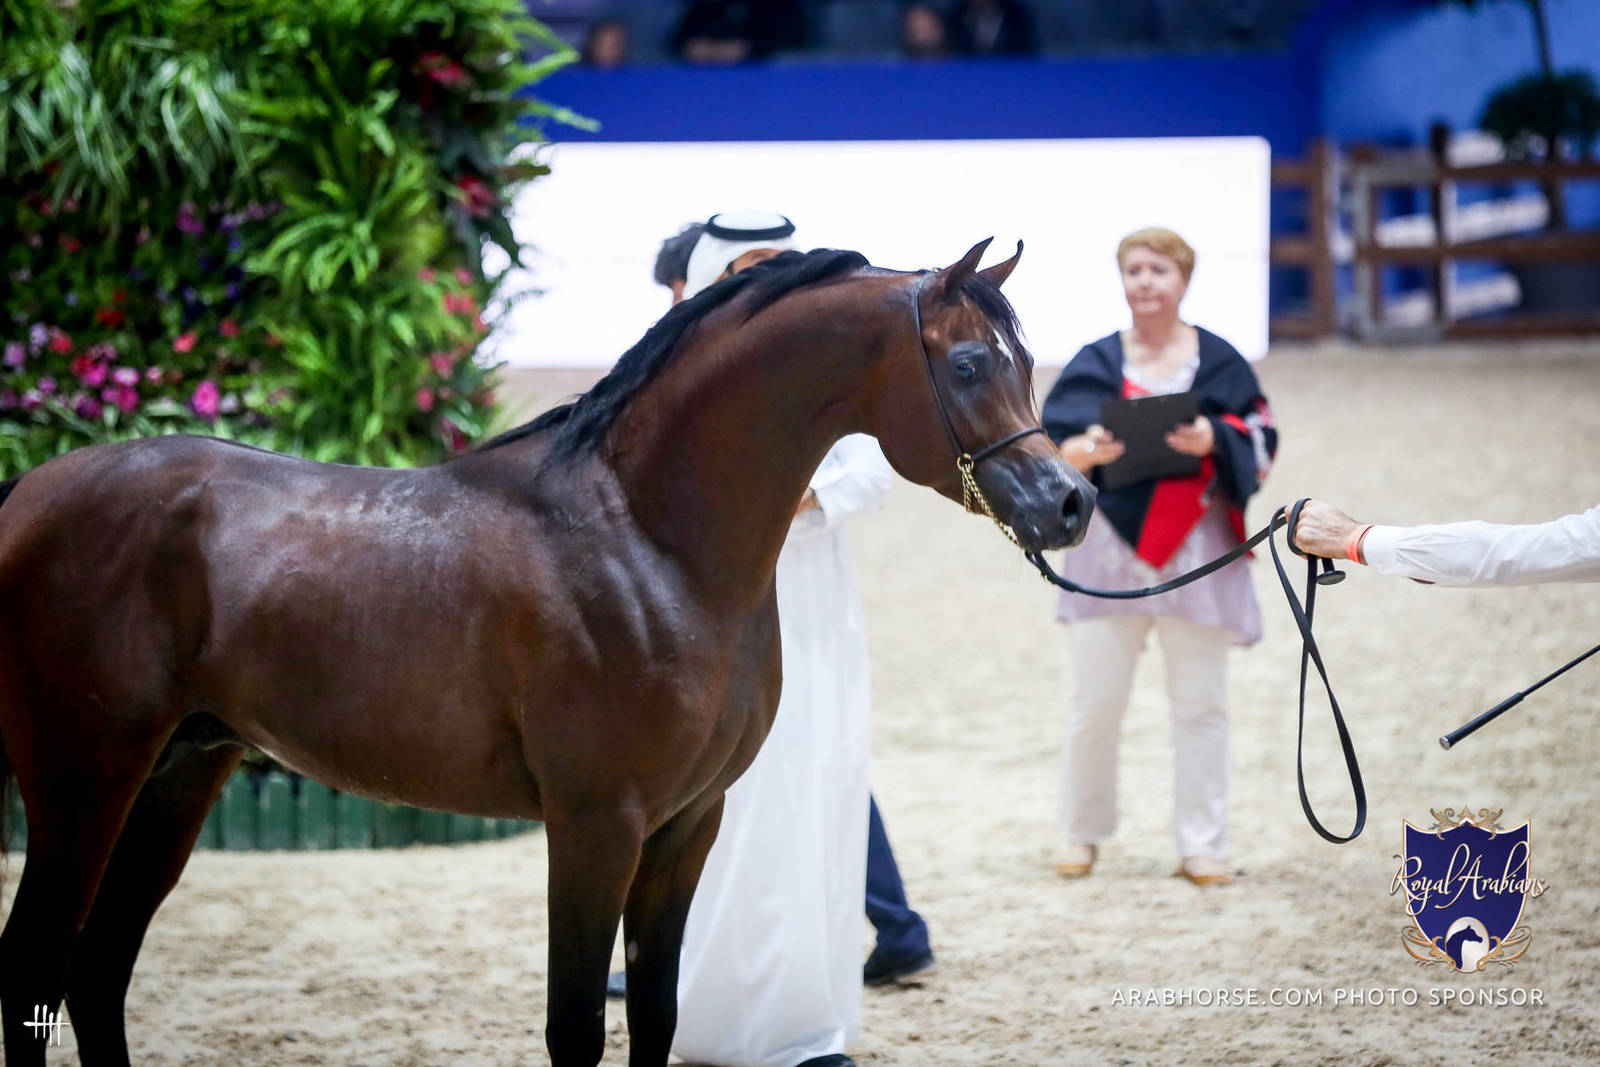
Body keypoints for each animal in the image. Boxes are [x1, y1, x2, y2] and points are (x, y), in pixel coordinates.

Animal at [0, 239, 1094, 1066]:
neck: (647, 538)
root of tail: (27, 495)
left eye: (1025, 356)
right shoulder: (594, 822)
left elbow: (654, 1014)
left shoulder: (686, 825)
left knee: (95, 972)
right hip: (84, 782)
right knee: (35, 969)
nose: (1070, 502)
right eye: (967, 363)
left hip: (179, 772)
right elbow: (574, 1026)